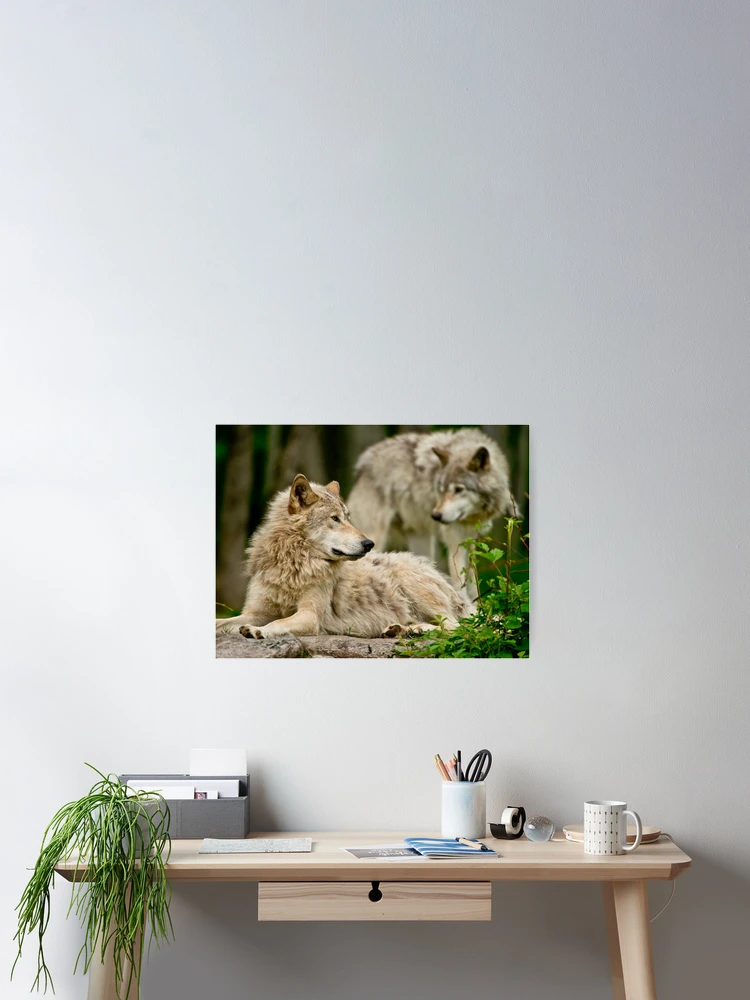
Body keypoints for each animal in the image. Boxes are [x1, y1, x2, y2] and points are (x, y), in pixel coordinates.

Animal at [216, 474, 471, 641]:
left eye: (348, 517)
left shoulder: (309, 616)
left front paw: (259, 630)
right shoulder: (254, 612)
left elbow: (278, 622)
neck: (294, 563)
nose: (369, 544)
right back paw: (400, 629)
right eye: (335, 518)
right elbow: (222, 623)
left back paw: (413, 630)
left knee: (457, 627)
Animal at [346, 428, 515, 599]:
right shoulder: (455, 542)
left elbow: (473, 584)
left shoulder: (472, 541)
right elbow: (460, 583)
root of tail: (363, 463)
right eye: (441, 489)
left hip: (421, 543)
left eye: (459, 489)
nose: (436, 516)